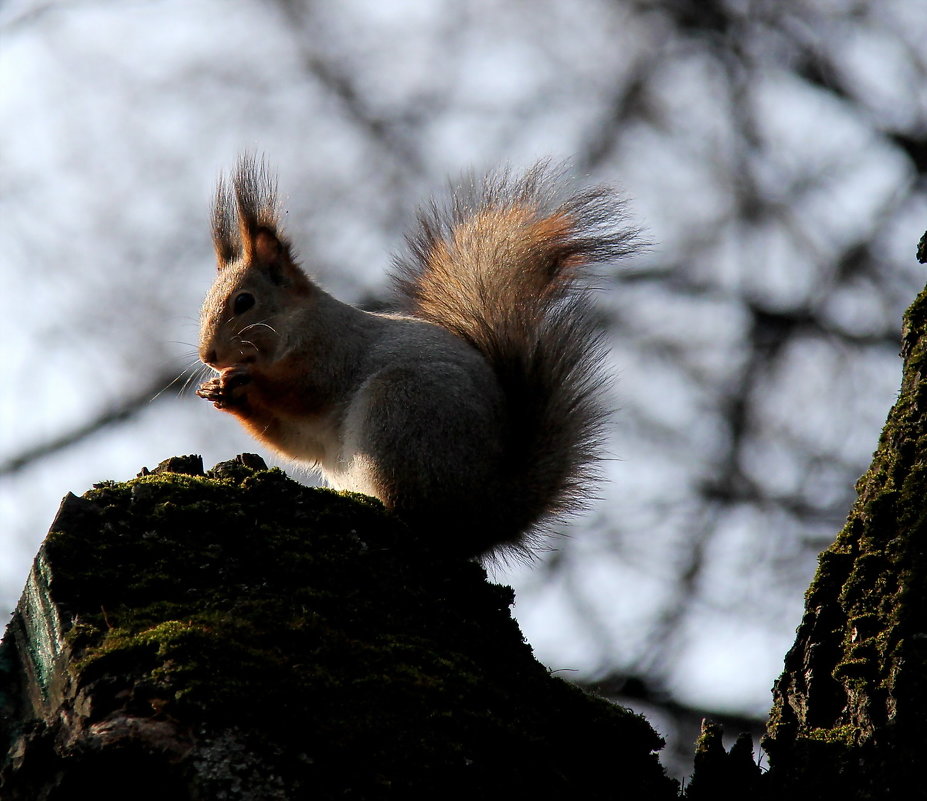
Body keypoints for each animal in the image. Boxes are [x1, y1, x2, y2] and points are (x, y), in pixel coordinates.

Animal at [196, 156, 640, 556]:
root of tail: (485, 516)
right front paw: (220, 392)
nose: (209, 355)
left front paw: (244, 380)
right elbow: (296, 439)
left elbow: (302, 392)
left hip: (398, 412)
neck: (294, 328)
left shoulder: (332, 352)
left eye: (244, 301)